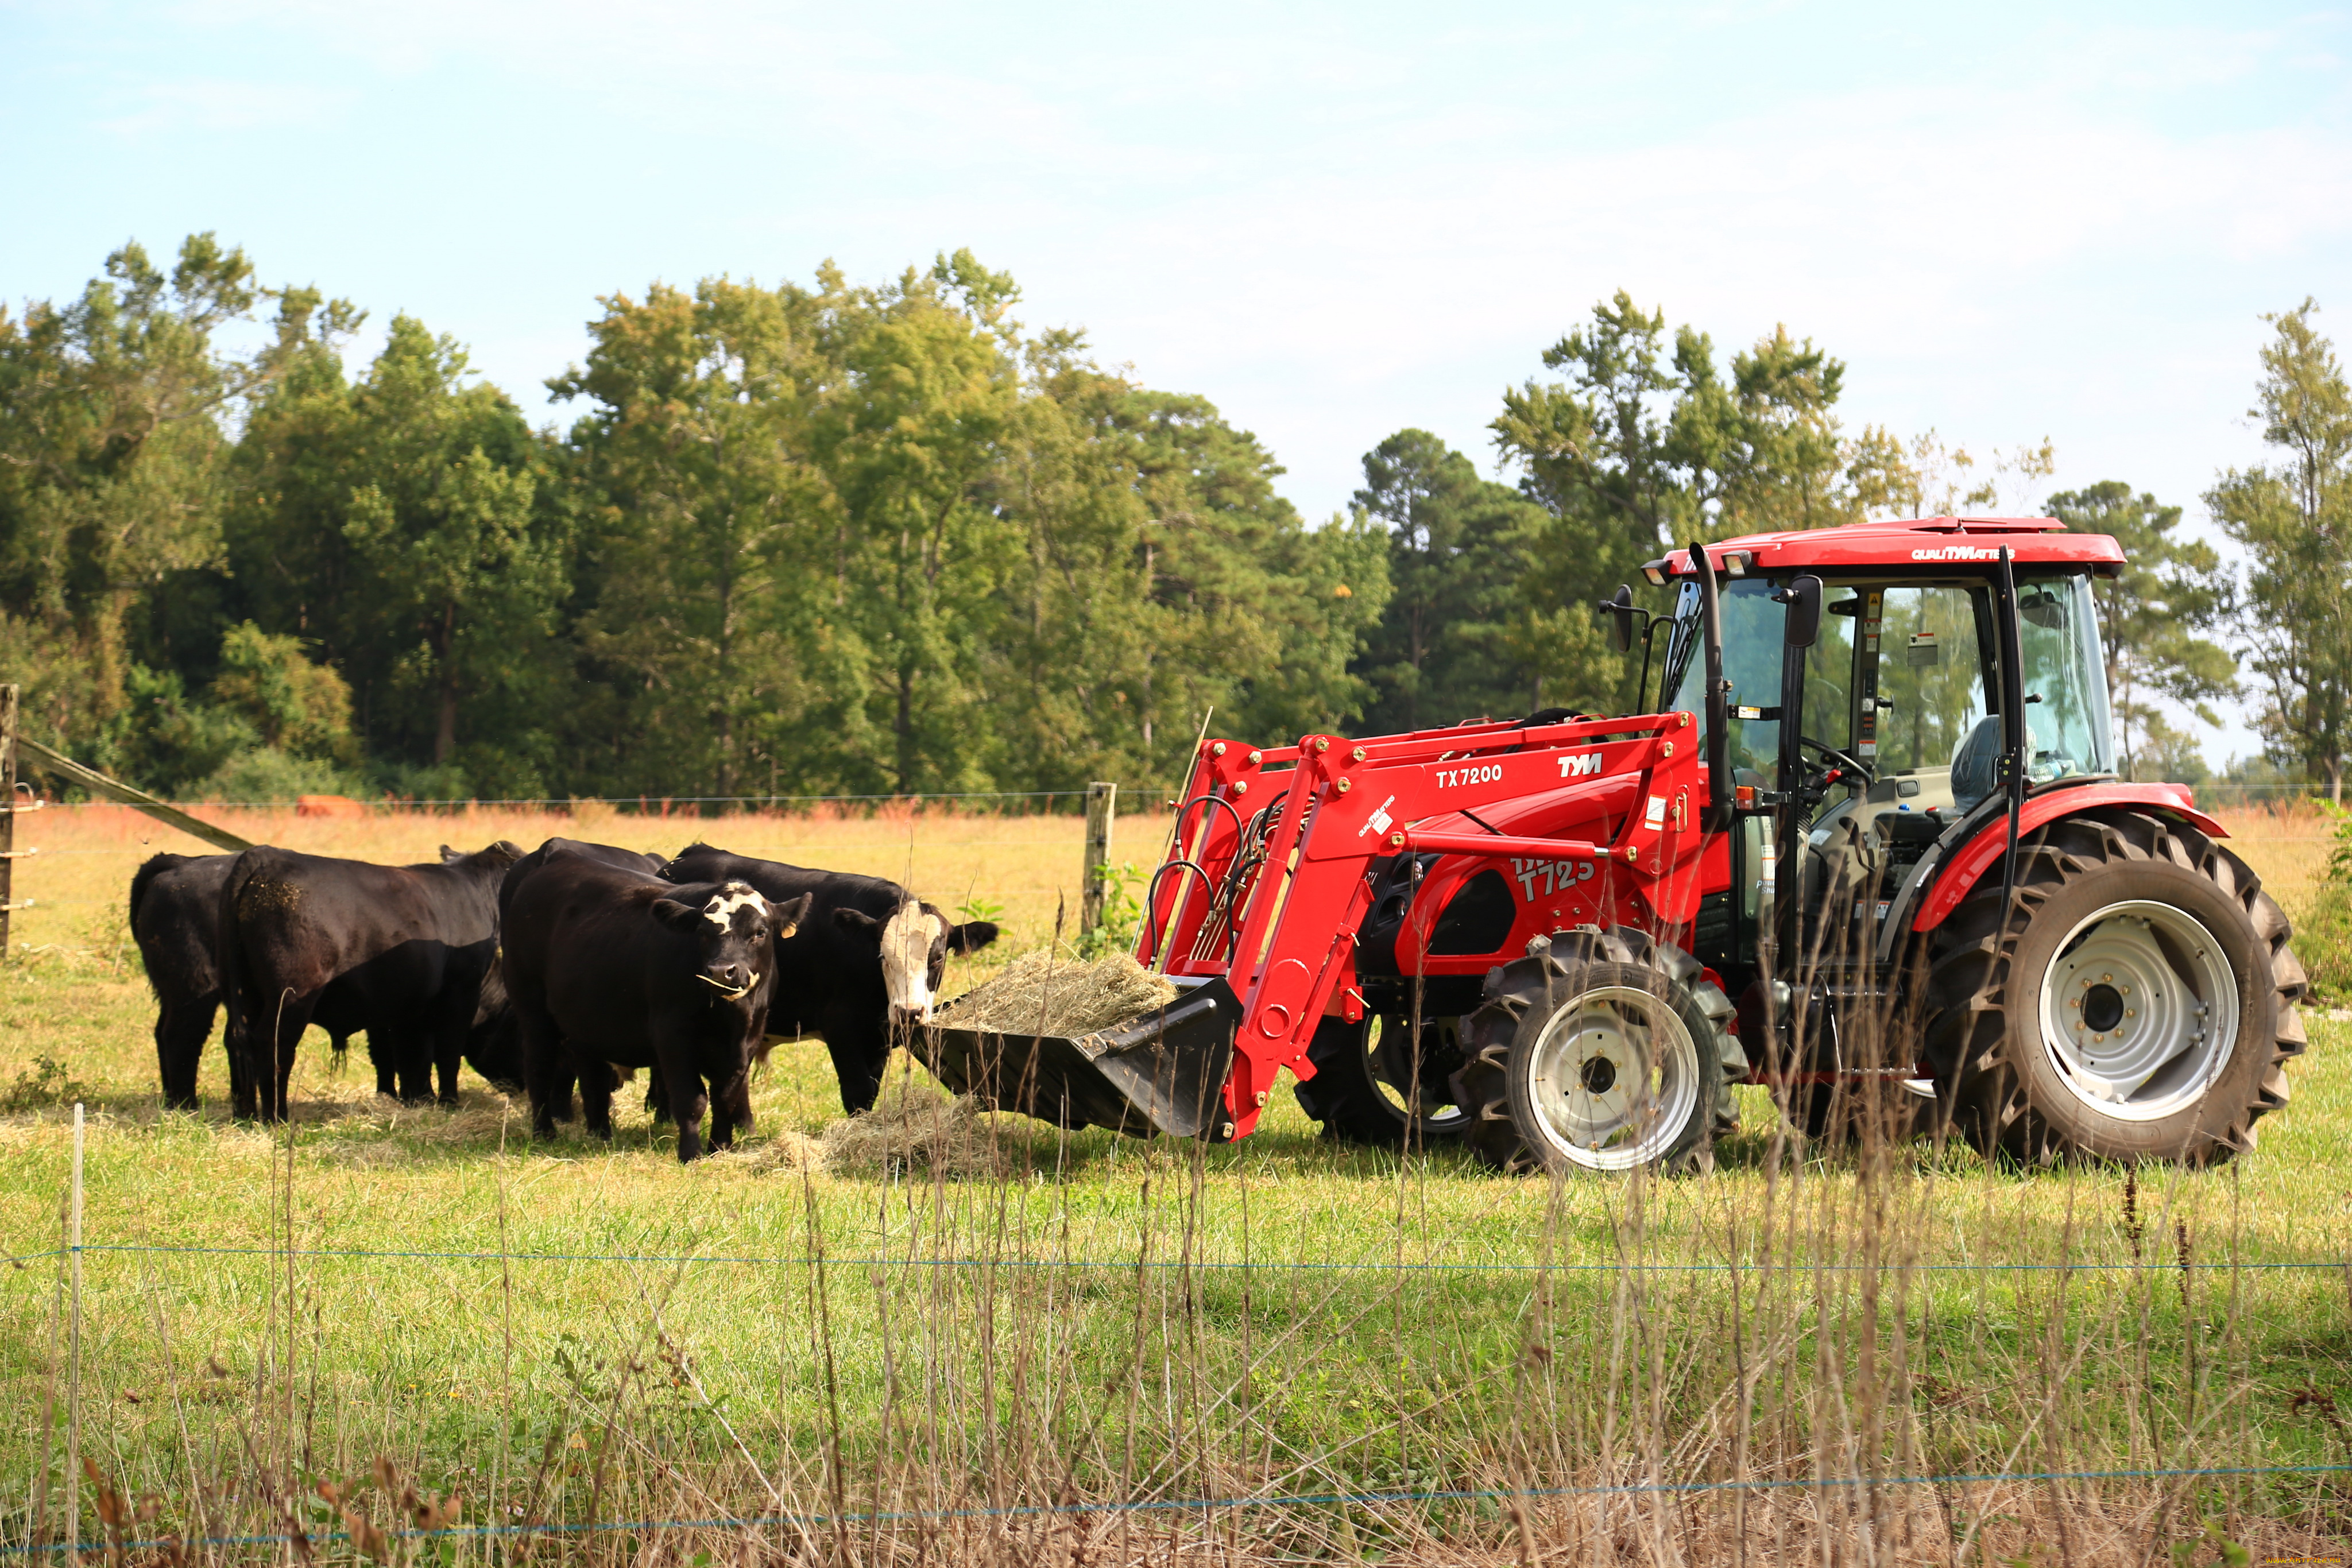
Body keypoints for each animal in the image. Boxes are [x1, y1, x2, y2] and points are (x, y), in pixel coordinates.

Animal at [217, 846, 524, 1114]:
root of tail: (267, 854)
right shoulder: (460, 991)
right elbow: (445, 1051)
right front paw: (448, 1103)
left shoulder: (402, 1006)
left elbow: (403, 1056)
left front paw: (413, 1100)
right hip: (290, 994)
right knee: (274, 1044)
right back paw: (276, 1117)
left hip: (245, 995)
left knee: (237, 1041)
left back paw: (245, 1116)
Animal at [496, 841, 809, 1161]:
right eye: (702, 932)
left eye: (760, 932)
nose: (722, 971)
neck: (730, 1018)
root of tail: (559, 855)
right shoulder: (672, 1036)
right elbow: (691, 1099)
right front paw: (691, 1154)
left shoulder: (748, 1041)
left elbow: (726, 1098)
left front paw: (720, 1148)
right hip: (533, 1010)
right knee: (539, 1067)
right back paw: (544, 1132)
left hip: (585, 1022)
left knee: (593, 1077)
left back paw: (600, 1134)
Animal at [663, 846, 1001, 1114]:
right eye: (882, 956)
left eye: (938, 958)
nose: (909, 1012)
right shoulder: (840, 1026)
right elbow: (858, 1092)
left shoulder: (879, 1036)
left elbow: (871, 1089)